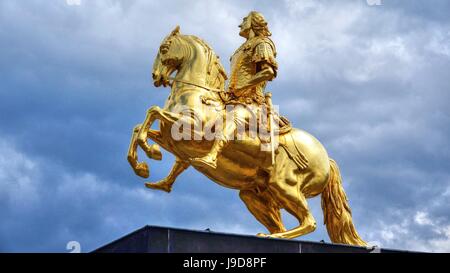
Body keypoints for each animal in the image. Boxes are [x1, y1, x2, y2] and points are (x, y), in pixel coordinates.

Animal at [126, 26, 366, 245]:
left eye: (164, 48)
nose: (155, 77)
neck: (198, 94)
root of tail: (327, 158)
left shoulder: (194, 130)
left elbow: (153, 111)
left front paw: (151, 153)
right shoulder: (172, 140)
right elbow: (140, 127)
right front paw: (144, 164)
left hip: (284, 185)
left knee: (309, 221)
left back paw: (275, 236)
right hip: (254, 194)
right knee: (284, 222)